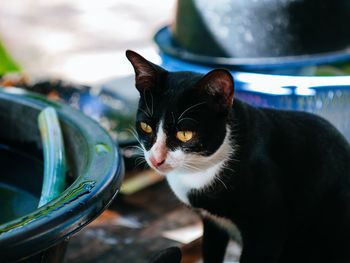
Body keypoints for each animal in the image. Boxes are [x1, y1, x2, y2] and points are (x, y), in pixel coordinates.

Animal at [126, 50, 350, 263]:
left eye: (185, 134)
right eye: (146, 126)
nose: (156, 159)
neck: (200, 172)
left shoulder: (267, 231)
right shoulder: (213, 225)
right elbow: (210, 252)